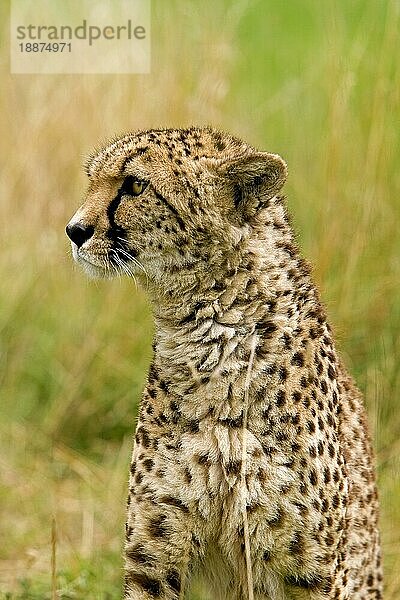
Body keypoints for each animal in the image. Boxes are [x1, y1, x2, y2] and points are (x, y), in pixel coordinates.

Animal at [67, 124, 382, 596]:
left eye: (135, 185)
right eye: (92, 180)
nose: (74, 230)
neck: (212, 334)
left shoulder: (314, 572)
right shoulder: (153, 560)